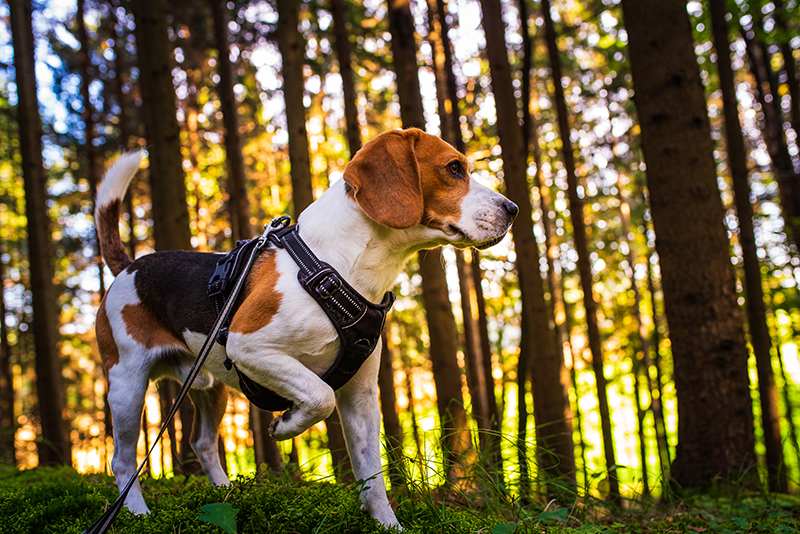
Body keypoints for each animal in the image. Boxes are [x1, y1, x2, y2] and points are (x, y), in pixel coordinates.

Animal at [94, 127, 520, 528]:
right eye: (454, 168)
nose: (513, 208)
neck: (341, 268)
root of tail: (129, 267)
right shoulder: (249, 346)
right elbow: (319, 396)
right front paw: (286, 426)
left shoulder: (361, 395)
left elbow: (373, 475)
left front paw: (387, 524)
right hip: (128, 385)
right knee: (122, 459)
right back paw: (137, 513)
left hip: (208, 386)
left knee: (202, 443)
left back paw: (226, 493)